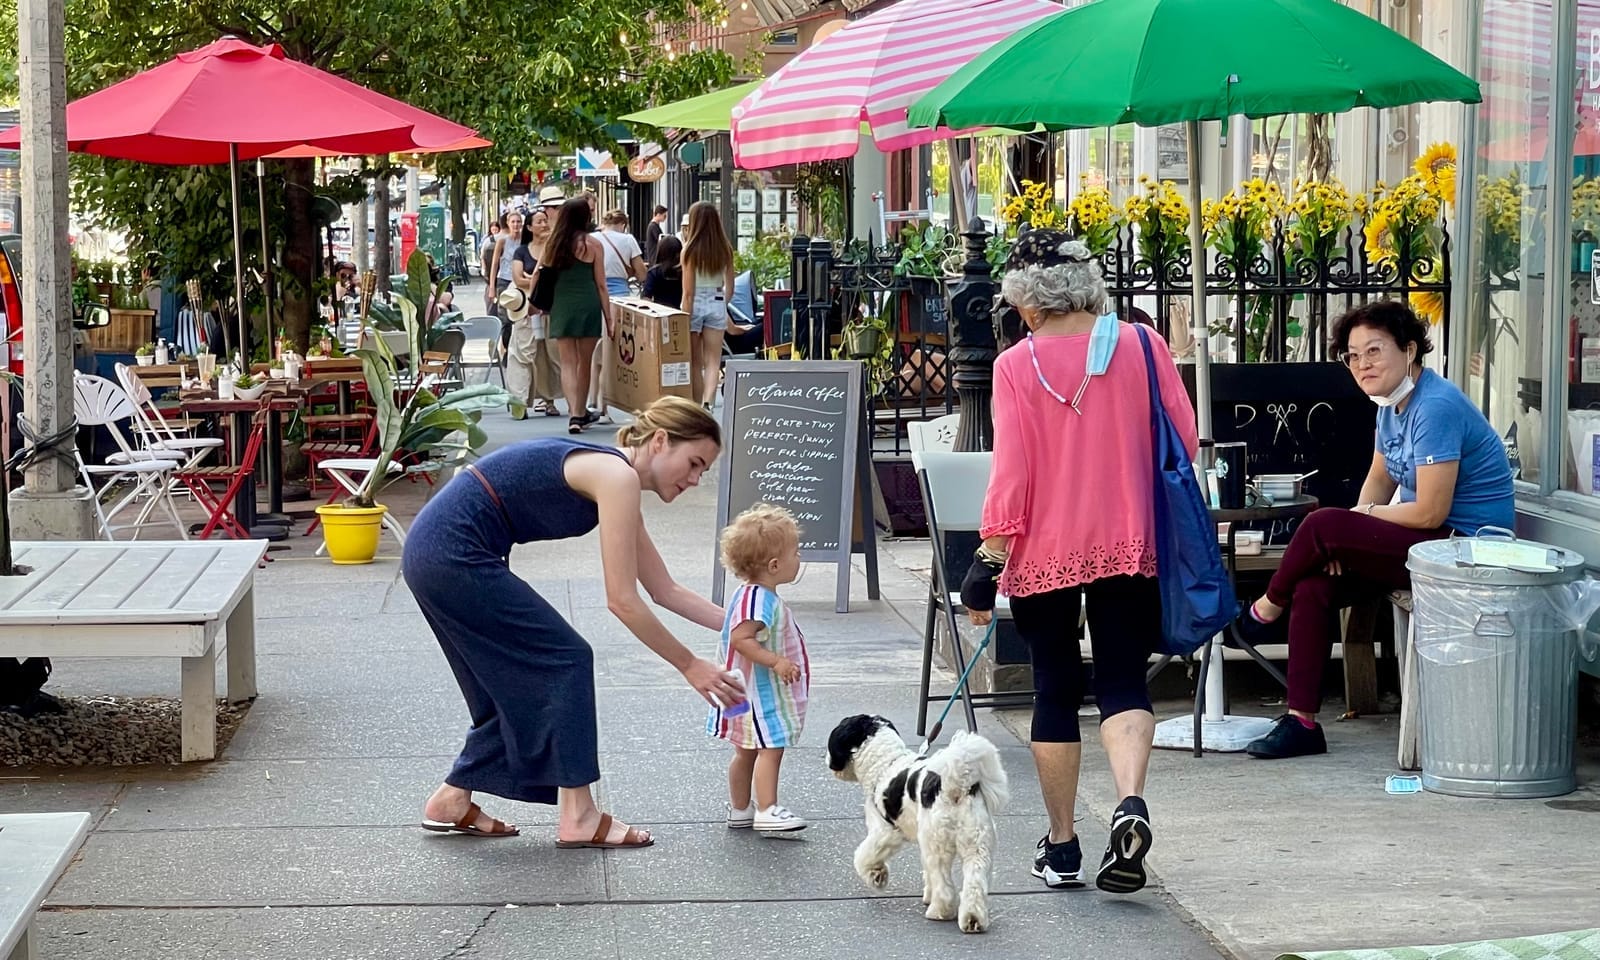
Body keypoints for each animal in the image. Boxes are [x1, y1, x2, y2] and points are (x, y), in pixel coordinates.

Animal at [832, 713, 1004, 928]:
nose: (829, 761)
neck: (885, 764)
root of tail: (956, 785)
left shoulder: (885, 832)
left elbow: (865, 856)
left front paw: (876, 875)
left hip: (939, 846)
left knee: (944, 886)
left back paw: (939, 911)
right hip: (977, 845)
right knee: (975, 884)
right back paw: (973, 919)